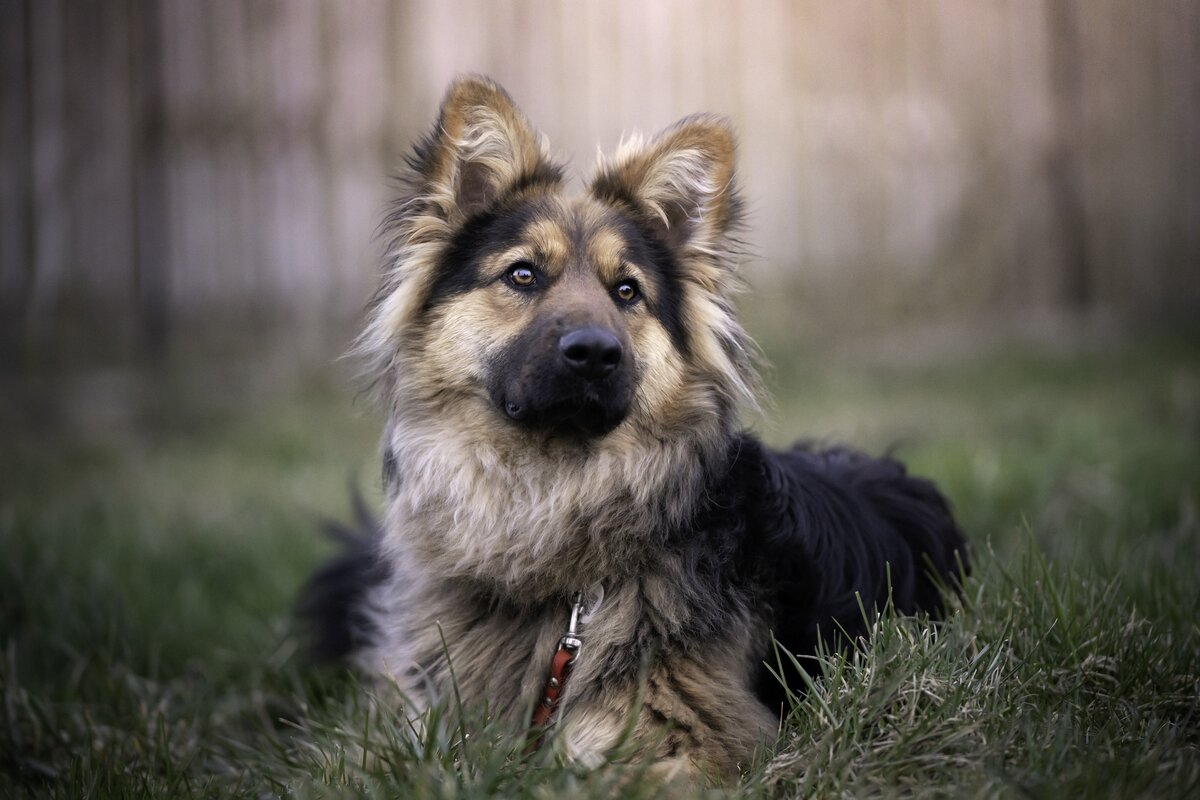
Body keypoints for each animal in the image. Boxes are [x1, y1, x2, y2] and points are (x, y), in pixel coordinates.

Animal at [300, 76, 964, 782]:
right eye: (522, 274)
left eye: (626, 291)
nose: (594, 353)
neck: (553, 499)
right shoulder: (418, 713)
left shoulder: (681, 733)